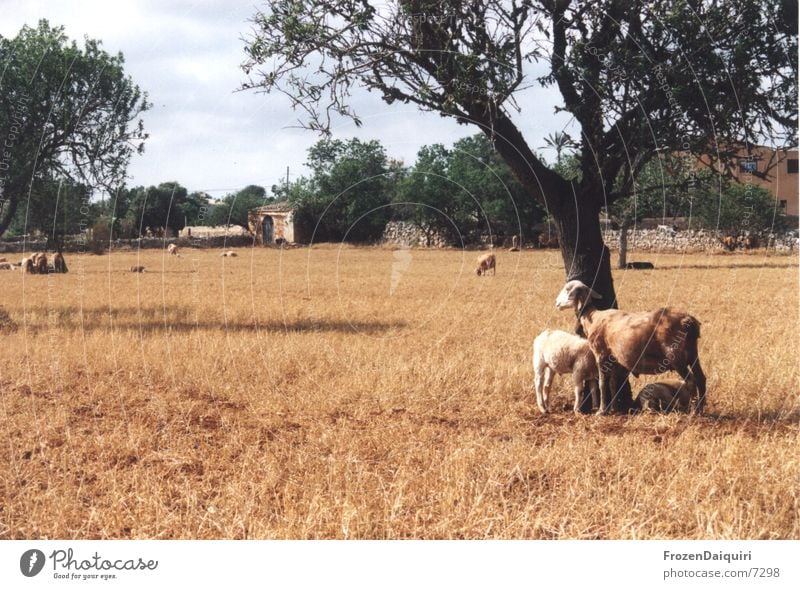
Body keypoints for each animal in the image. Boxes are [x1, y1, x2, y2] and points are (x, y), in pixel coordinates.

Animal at [556, 280, 708, 414]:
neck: (592, 317)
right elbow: (613, 384)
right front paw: (614, 409)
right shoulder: (615, 359)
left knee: (691, 381)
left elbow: (602, 384)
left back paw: (693, 411)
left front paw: (602, 410)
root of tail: (688, 320)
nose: (557, 303)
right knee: (701, 378)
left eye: (568, 289)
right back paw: (701, 407)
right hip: (692, 352)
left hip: (675, 355)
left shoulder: (600, 354)